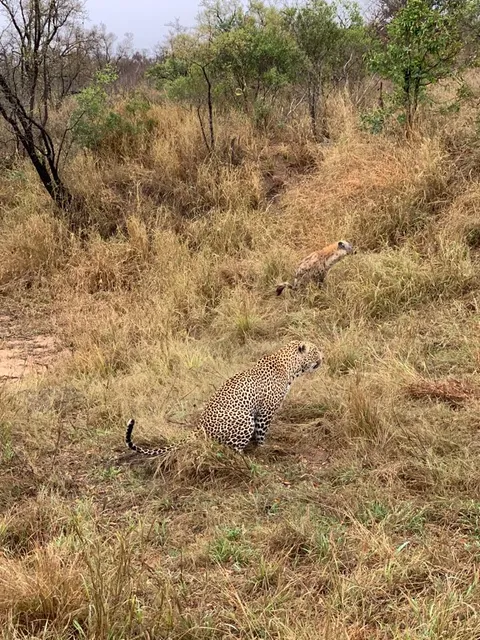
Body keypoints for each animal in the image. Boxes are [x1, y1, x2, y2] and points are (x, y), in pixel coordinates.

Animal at [125, 340, 323, 456]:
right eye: (316, 351)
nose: (324, 356)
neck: (291, 367)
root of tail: (200, 427)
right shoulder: (265, 411)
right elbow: (261, 432)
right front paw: (262, 447)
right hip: (244, 419)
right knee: (230, 449)